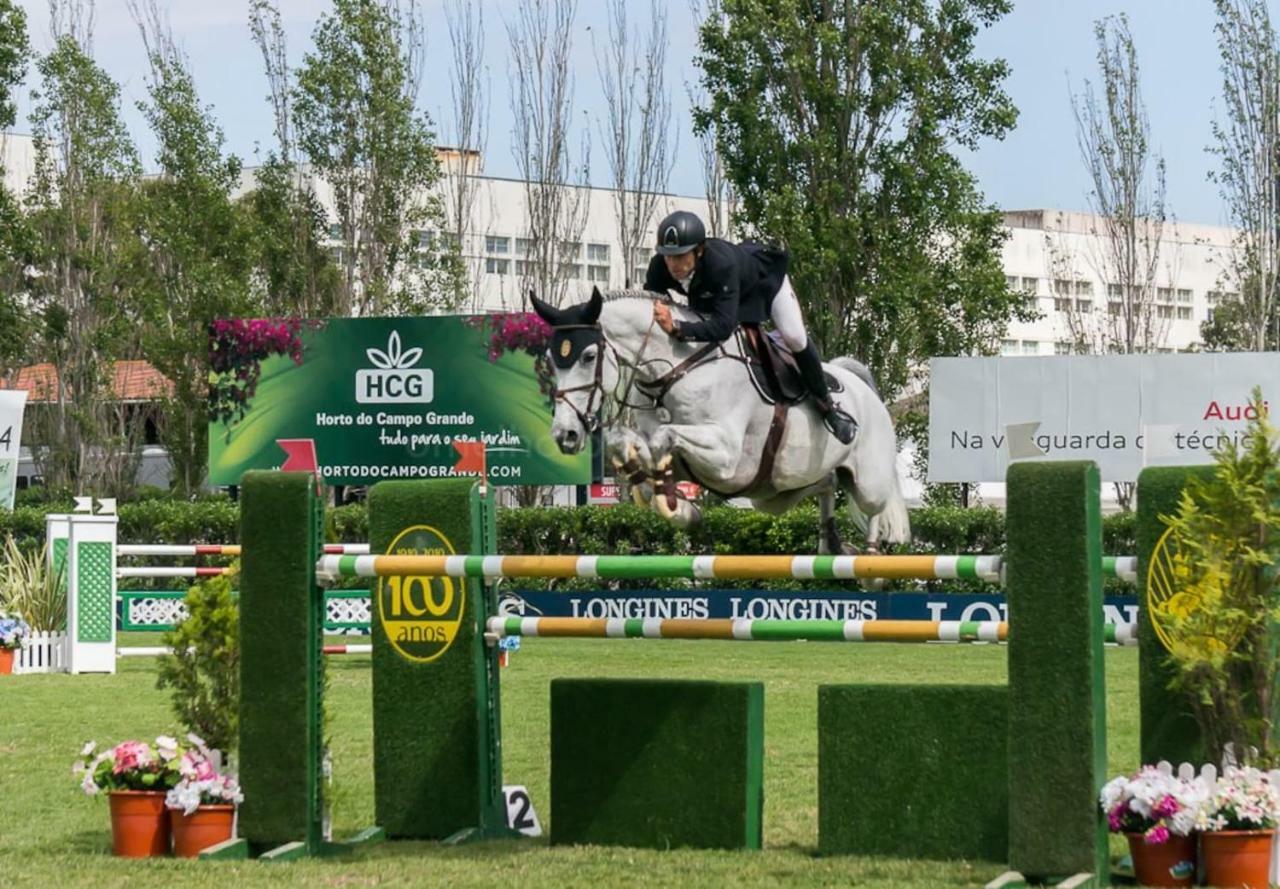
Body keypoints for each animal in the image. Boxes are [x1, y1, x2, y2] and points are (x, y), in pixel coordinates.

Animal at [529, 289, 911, 552]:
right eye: (550, 360)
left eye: (587, 356)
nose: (564, 434)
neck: (675, 371)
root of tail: (865, 391)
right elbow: (625, 442)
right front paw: (669, 499)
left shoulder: (725, 458)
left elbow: (663, 438)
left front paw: (674, 503)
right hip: (773, 493)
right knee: (826, 483)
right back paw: (832, 542)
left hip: (867, 482)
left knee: (875, 505)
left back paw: (871, 560)